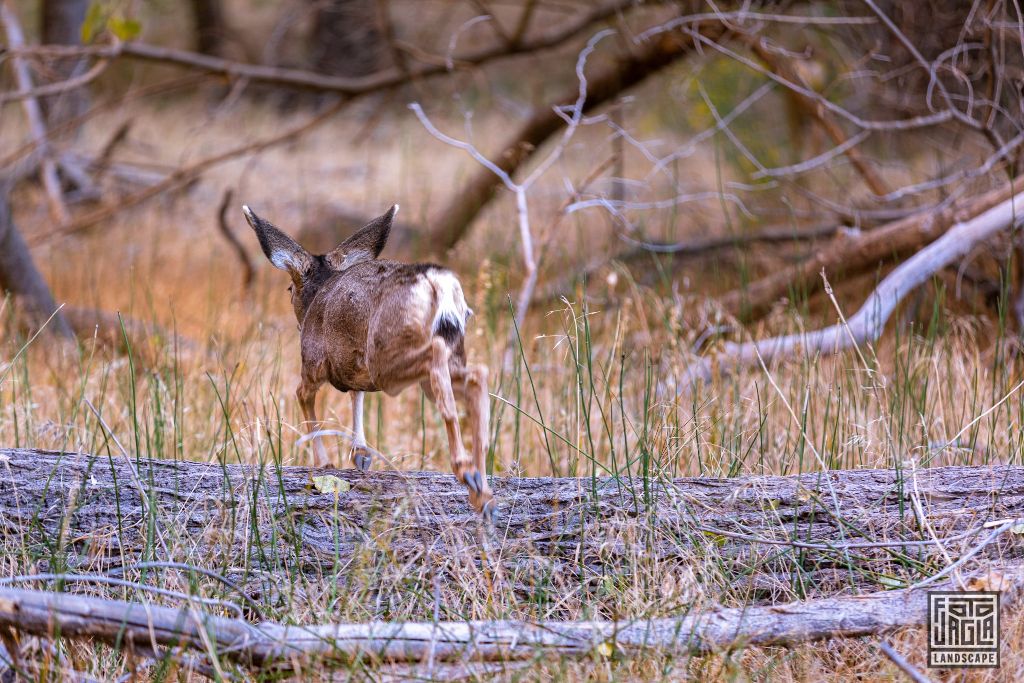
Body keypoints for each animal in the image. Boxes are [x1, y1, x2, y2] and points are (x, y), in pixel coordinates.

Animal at [240, 202, 495, 518]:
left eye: (289, 289)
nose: (298, 320)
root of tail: (438, 285)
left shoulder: (314, 362)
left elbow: (303, 395)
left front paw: (325, 462)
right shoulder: (352, 367)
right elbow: (357, 395)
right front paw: (360, 453)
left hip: (387, 356)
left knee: (440, 363)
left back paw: (466, 471)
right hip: (450, 347)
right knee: (477, 374)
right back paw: (483, 494)